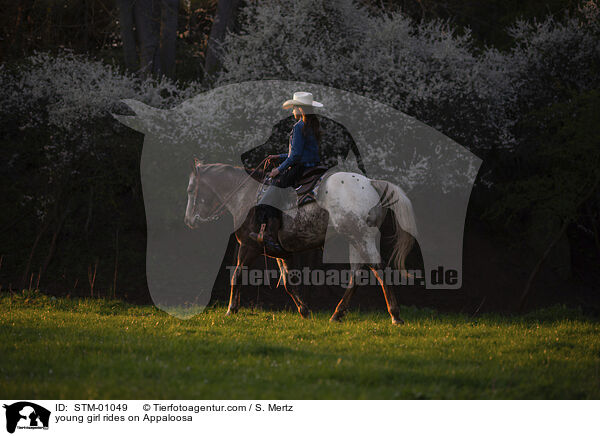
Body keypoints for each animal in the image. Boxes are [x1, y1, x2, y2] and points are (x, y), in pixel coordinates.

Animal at [184, 161, 418, 324]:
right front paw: (304, 311)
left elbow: (237, 275)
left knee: (378, 270)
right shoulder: (280, 252)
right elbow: (288, 283)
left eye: (190, 190)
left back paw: (395, 316)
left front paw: (231, 309)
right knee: (357, 274)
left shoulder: (249, 246)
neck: (246, 196)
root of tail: (371, 183)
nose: (189, 220)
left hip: (362, 237)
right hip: (355, 239)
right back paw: (337, 314)